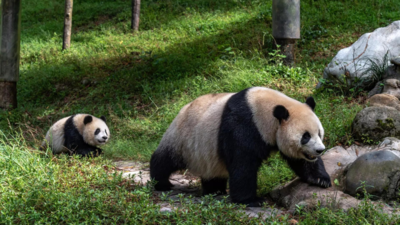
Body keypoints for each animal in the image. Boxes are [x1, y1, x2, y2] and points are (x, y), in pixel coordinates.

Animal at [151, 87, 332, 207]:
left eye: (319, 133)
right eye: (305, 136)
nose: (319, 150)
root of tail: (182, 109)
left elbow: (299, 159)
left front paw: (320, 179)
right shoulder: (243, 126)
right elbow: (242, 164)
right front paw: (252, 200)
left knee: (213, 172)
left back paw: (214, 191)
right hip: (183, 137)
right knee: (166, 159)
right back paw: (161, 183)